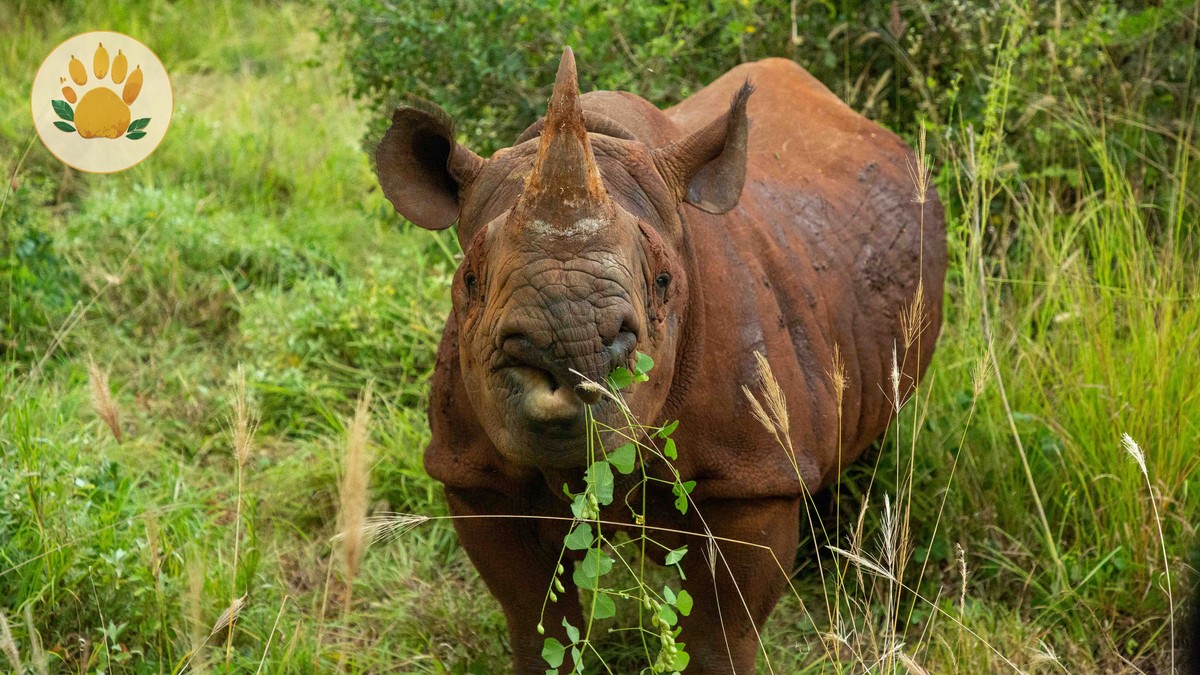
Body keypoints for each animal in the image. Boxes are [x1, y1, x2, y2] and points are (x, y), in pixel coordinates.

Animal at [375, 48, 946, 673]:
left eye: (665, 282)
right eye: (471, 281)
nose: (572, 360)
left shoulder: (751, 479)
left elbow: (721, 633)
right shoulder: (475, 474)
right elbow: (534, 620)